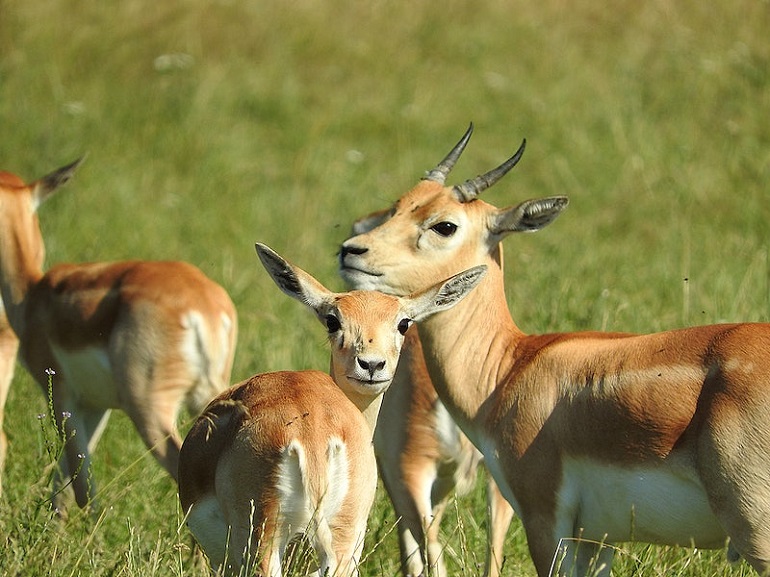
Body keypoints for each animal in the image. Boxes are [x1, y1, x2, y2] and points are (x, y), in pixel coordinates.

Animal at [0, 159, 237, 512]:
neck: (32, 294)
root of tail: (203, 306)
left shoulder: (61, 394)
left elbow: (82, 486)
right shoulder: (95, 406)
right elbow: (67, 479)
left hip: (149, 410)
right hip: (210, 396)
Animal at [177, 243, 484, 576]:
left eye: (403, 323)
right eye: (333, 320)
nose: (372, 365)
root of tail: (309, 436)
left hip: (263, 541)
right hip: (343, 538)